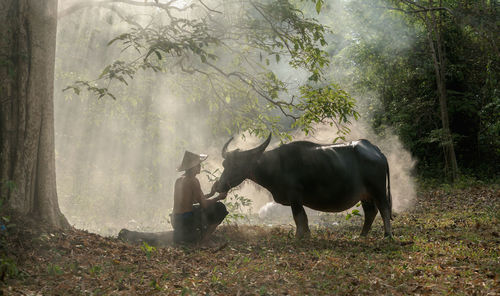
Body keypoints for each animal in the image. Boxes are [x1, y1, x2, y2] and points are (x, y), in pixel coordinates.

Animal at [213, 134, 392, 238]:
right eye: (225, 164)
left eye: (237, 165)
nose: (218, 185)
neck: (276, 165)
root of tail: (377, 151)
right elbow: (303, 219)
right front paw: (306, 235)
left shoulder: (295, 197)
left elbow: (299, 218)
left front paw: (299, 236)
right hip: (365, 195)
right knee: (370, 212)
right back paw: (362, 235)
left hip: (378, 191)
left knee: (384, 209)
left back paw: (387, 235)